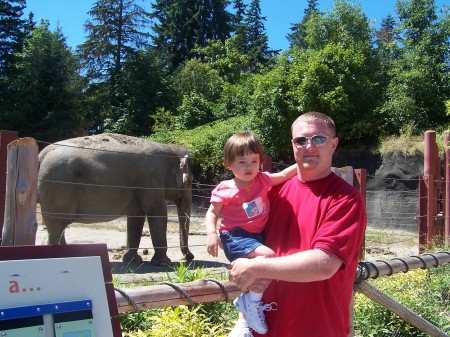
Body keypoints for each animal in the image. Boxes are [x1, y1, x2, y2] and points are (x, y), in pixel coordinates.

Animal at [36, 133, 193, 264]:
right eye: (190, 181)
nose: (189, 257)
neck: (168, 148)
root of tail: (42, 154)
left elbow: (136, 216)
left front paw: (132, 260)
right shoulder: (151, 178)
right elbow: (157, 212)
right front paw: (163, 263)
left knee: (58, 226)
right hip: (57, 188)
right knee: (56, 225)